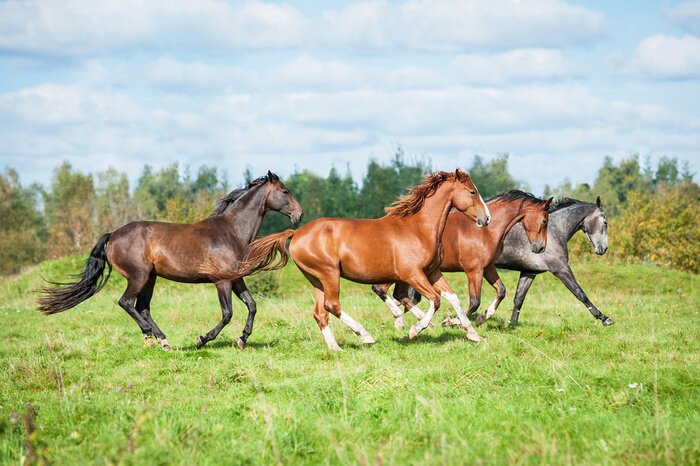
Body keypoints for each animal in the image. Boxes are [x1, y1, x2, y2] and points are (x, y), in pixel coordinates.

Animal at [37, 171, 303, 351]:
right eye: (285, 191)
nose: (299, 215)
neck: (231, 232)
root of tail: (113, 234)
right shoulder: (222, 281)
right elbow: (227, 314)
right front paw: (201, 340)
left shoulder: (236, 279)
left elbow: (252, 306)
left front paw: (242, 339)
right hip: (139, 277)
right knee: (127, 303)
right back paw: (154, 335)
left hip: (150, 279)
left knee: (143, 307)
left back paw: (162, 340)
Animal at [206, 169, 491, 350]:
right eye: (472, 191)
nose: (486, 218)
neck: (418, 227)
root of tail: (296, 233)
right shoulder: (412, 274)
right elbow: (434, 301)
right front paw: (415, 329)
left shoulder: (432, 272)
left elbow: (453, 298)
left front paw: (472, 333)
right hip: (330, 274)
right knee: (332, 305)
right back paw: (365, 336)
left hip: (317, 280)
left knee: (320, 313)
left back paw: (335, 348)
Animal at [372, 190, 552, 330]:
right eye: (545, 220)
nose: (540, 248)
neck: (486, 231)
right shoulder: (474, 270)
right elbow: (474, 302)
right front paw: (452, 322)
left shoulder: (488, 268)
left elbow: (501, 291)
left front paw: (482, 318)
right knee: (380, 289)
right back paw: (404, 322)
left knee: (398, 294)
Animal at [494, 196, 614, 326]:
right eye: (605, 222)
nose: (603, 248)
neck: (553, 231)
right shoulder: (561, 269)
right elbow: (580, 293)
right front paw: (604, 318)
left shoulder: (529, 272)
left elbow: (519, 298)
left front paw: (513, 324)